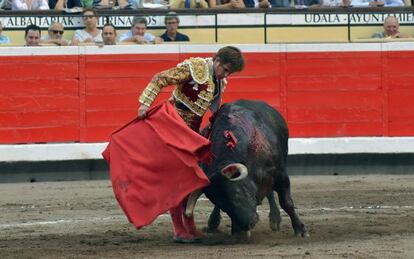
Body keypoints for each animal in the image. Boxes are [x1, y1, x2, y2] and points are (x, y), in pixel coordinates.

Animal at [186, 100, 306, 242]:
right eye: (223, 206)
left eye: (237, 194)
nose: (249, 223)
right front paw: (237, 231)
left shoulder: (280, 175)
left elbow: (286, 203)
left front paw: (300, 230)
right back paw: (213, 223)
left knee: (271, 193)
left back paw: (275, 219)